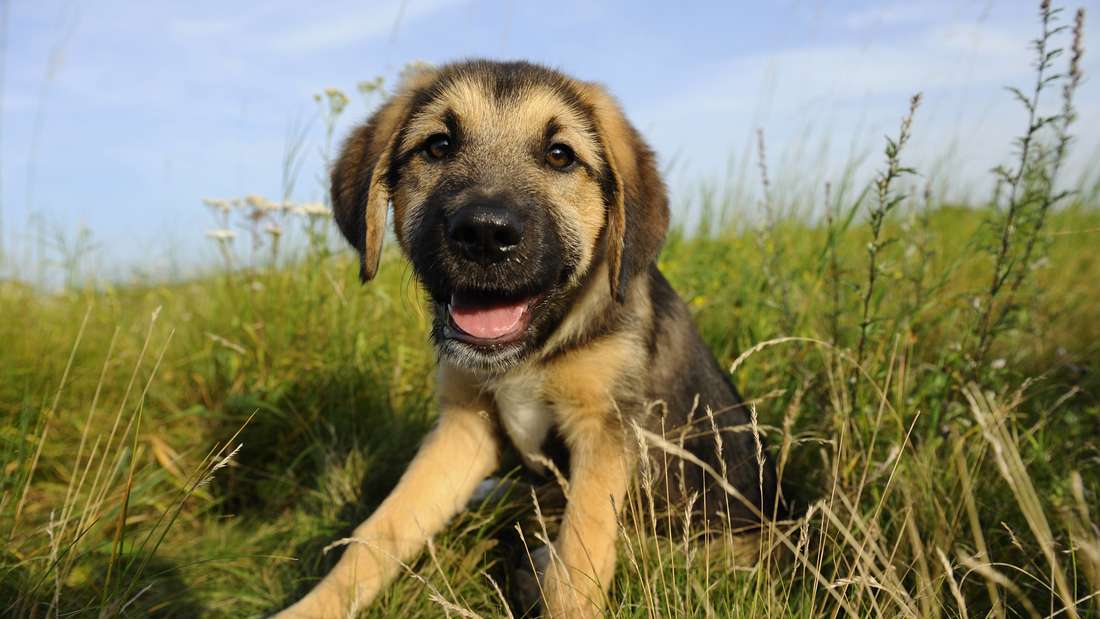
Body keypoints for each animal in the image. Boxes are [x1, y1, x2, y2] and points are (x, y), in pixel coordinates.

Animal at [275, 59, 778, 619]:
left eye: (560, 155)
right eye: (438, 145)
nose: (485, 234)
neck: (532, 355)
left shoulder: (602, 430)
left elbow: (578, 561)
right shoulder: (465, 426)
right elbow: (381, 530)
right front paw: (314, 606)